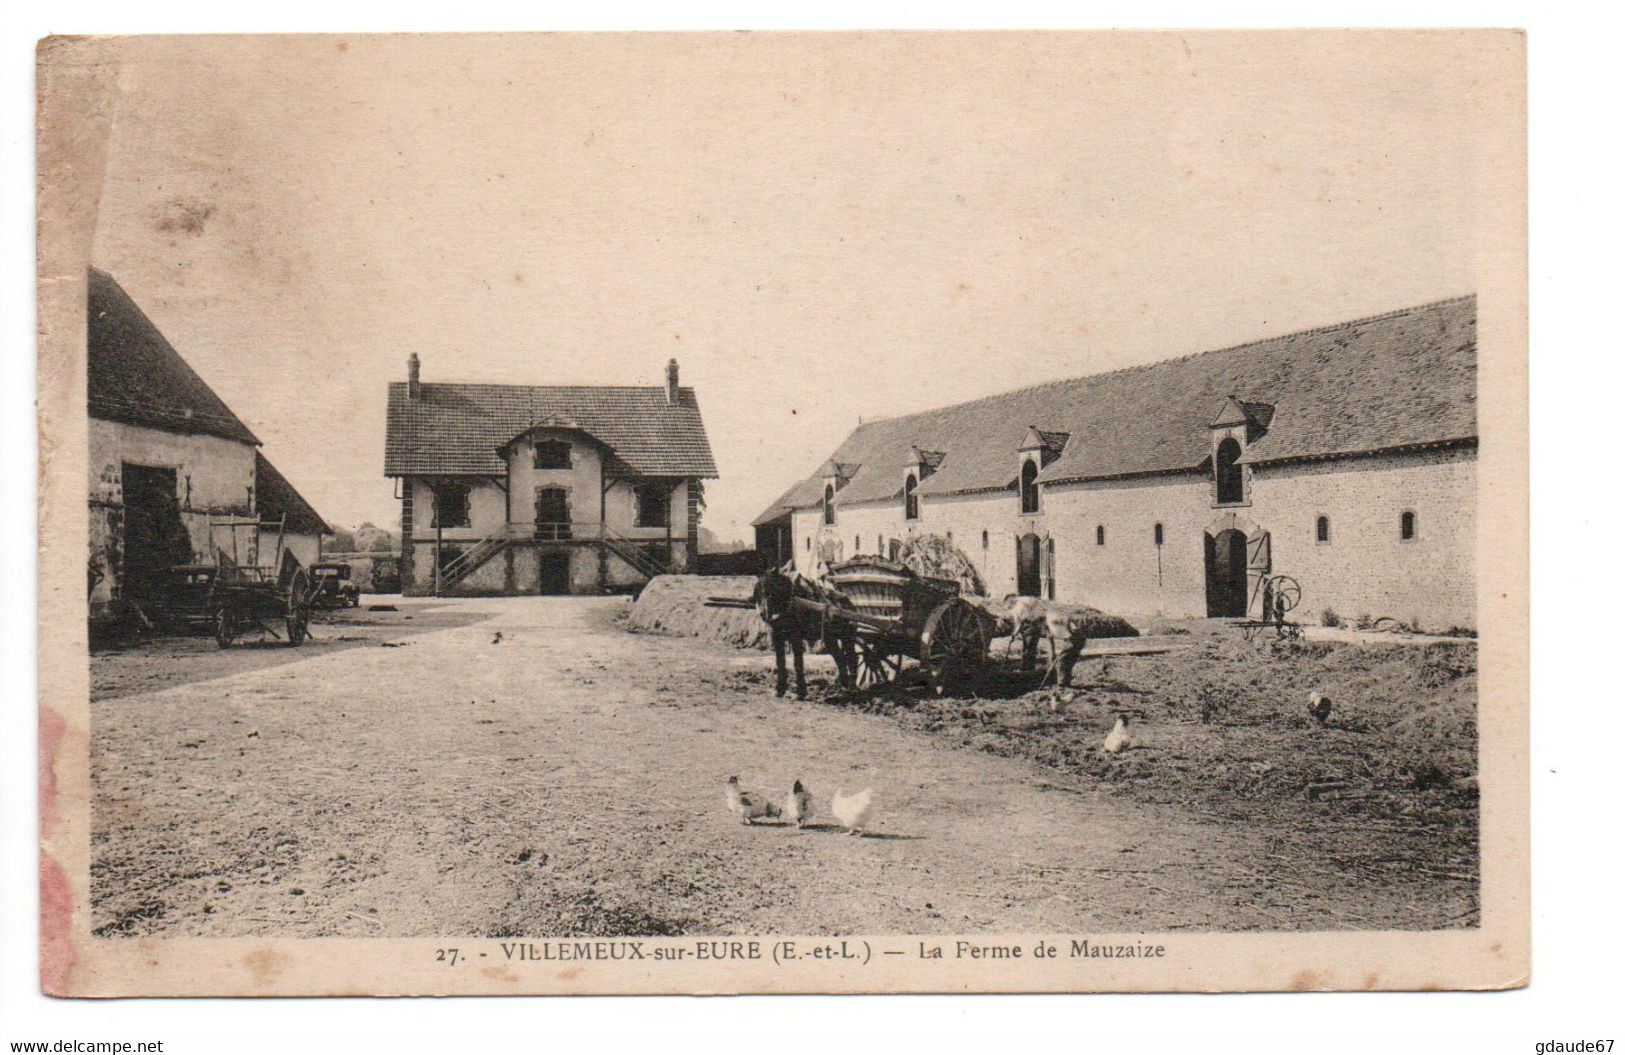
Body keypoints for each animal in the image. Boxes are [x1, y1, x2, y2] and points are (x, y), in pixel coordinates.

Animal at [750, 562, 864, 695]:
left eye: (770, 591)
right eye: (757, 592)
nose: (763, 614)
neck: (789, 604)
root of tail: (849, 602)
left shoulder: (796, 637)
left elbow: (798, 662)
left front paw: (801, 691)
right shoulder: (777, 637)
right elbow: (780, 662)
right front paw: (780, 689)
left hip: (848, 637)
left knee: (852, 657)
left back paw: (852, 687)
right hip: (830, 638)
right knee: (839, 656)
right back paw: (843, 683)